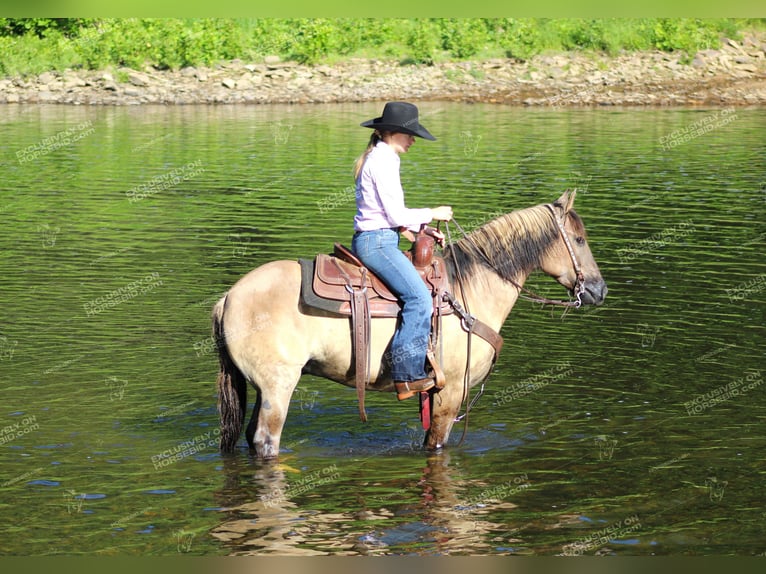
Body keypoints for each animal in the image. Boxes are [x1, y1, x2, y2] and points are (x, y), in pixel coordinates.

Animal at [213, 191, 608, 462]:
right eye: (578, 240)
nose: (599, 290)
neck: (472, 288)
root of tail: (229, 297)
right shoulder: (451, 392)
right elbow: (436, 445)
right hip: (277, 387)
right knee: (266, 441)